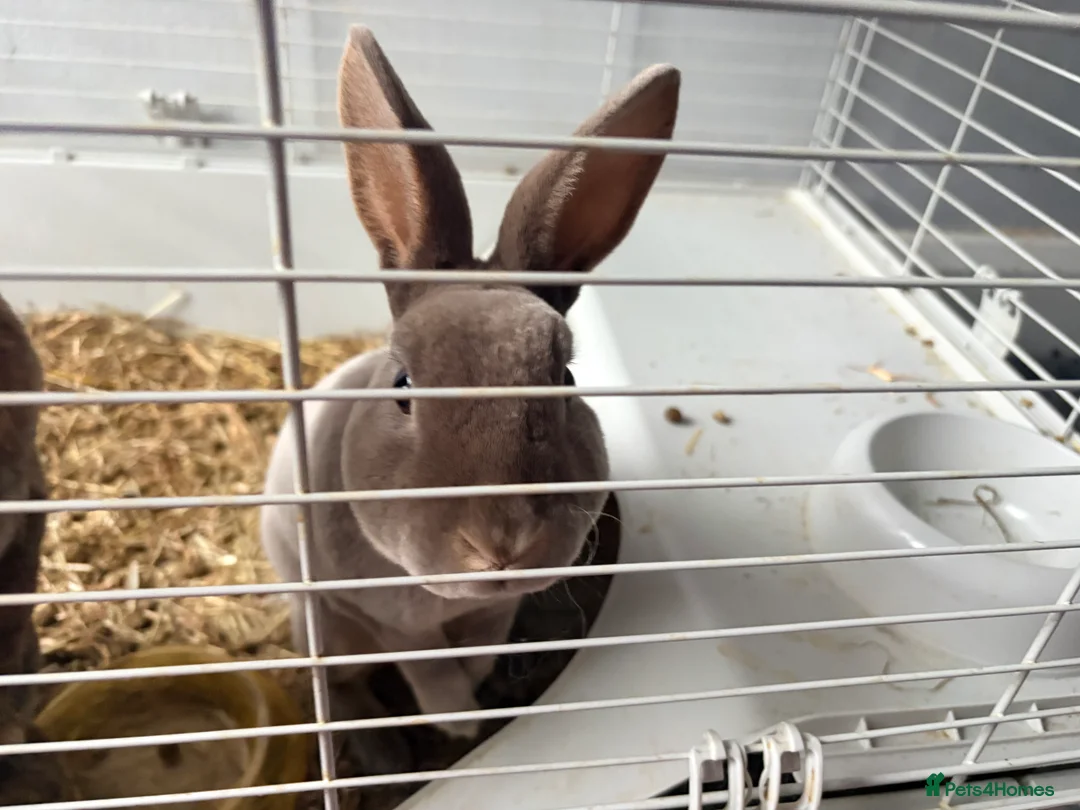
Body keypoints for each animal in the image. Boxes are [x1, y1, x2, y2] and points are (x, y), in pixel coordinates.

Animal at [260, 24, 680, 748]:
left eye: (565, 378)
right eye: (403, 386)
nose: (501, 543)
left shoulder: (495, 612)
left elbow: (482, 645)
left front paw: (476, 693)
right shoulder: (398, 624)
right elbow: (431, 670)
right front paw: (459, 721)